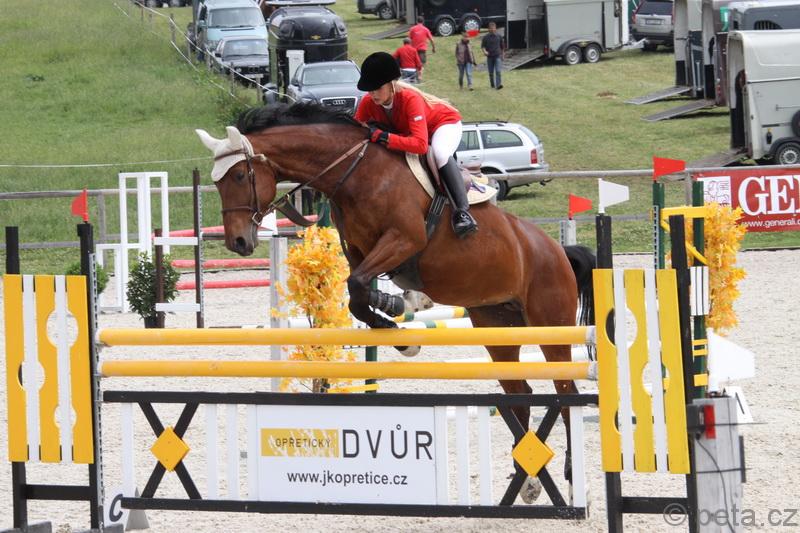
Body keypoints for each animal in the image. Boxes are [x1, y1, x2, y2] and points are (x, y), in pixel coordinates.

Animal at [196, 103, 596, 502]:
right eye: (216, 182)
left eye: (239, 175)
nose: (238, 243)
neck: (355, 171)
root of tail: (556, 250)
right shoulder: (359, 252)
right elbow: (357, 293)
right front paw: (396, 323)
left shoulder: (403, 240)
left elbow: (358, 286)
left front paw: (395, 311)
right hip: (496, 325)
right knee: (520, 394)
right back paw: (527, 481)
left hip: (551, 325)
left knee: (565, 393)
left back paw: (572, 481)